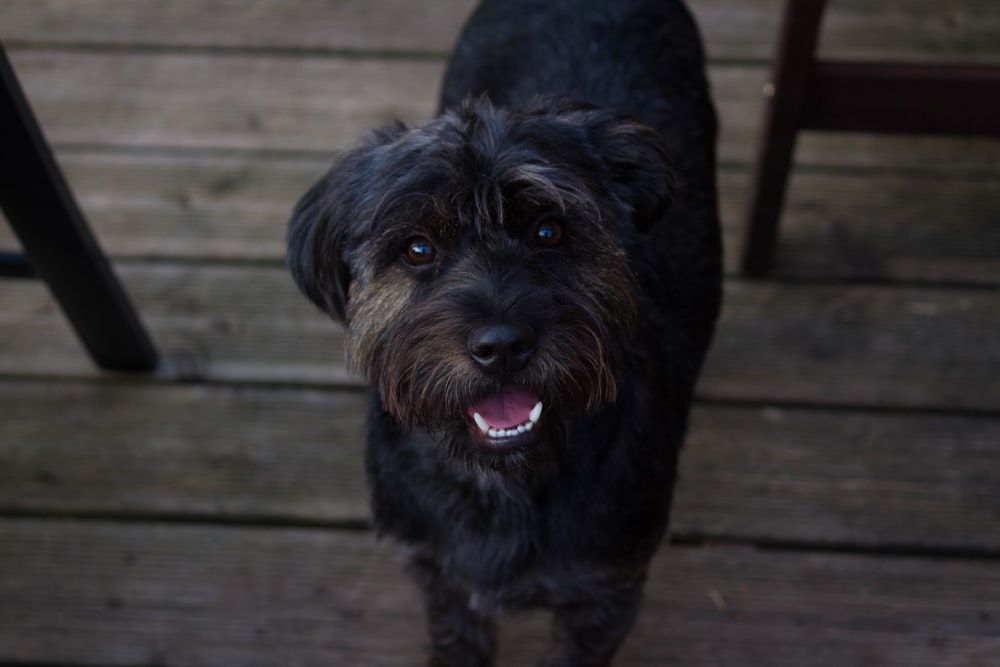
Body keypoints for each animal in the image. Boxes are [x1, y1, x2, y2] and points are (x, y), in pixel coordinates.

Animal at [288, 2, 720, 664]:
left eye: (549, 231)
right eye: (417, 248)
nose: (501, 348)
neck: (501, 482)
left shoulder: (604, 595)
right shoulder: (440, 581)